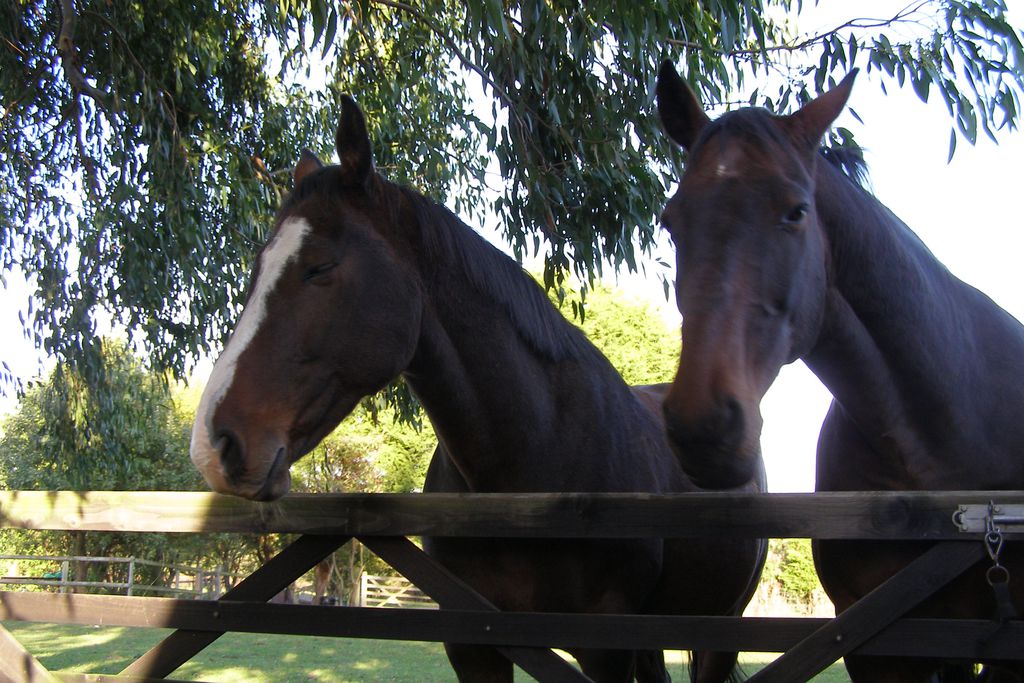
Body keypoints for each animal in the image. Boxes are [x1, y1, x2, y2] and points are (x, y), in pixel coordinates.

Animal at [190, 96, 770, 683]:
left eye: (320, 266)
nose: (214, 444)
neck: (535, 466)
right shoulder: (474, 642)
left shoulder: (605, 648)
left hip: (720, 627)